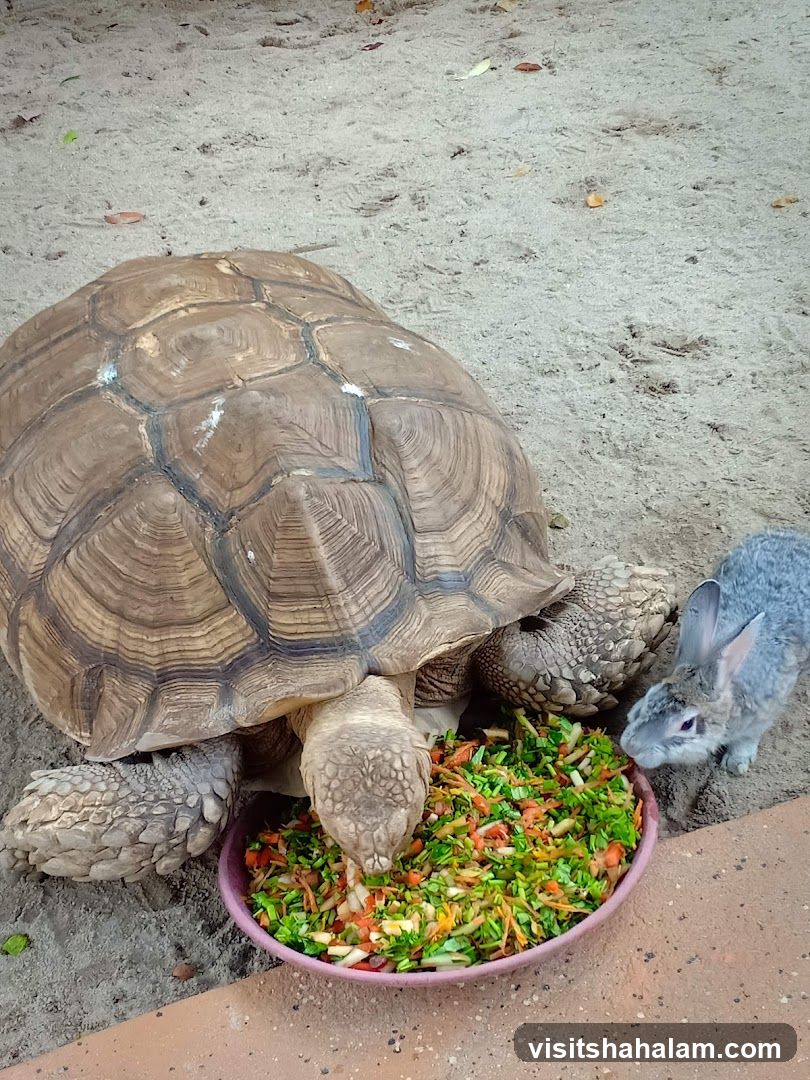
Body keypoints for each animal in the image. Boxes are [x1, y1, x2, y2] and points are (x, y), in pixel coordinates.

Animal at [620, 529, 810, 774]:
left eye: (687, 724)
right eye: (650, 694)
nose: (631, 747)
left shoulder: (764, 713)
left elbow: (748, 738)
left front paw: (736, 763)